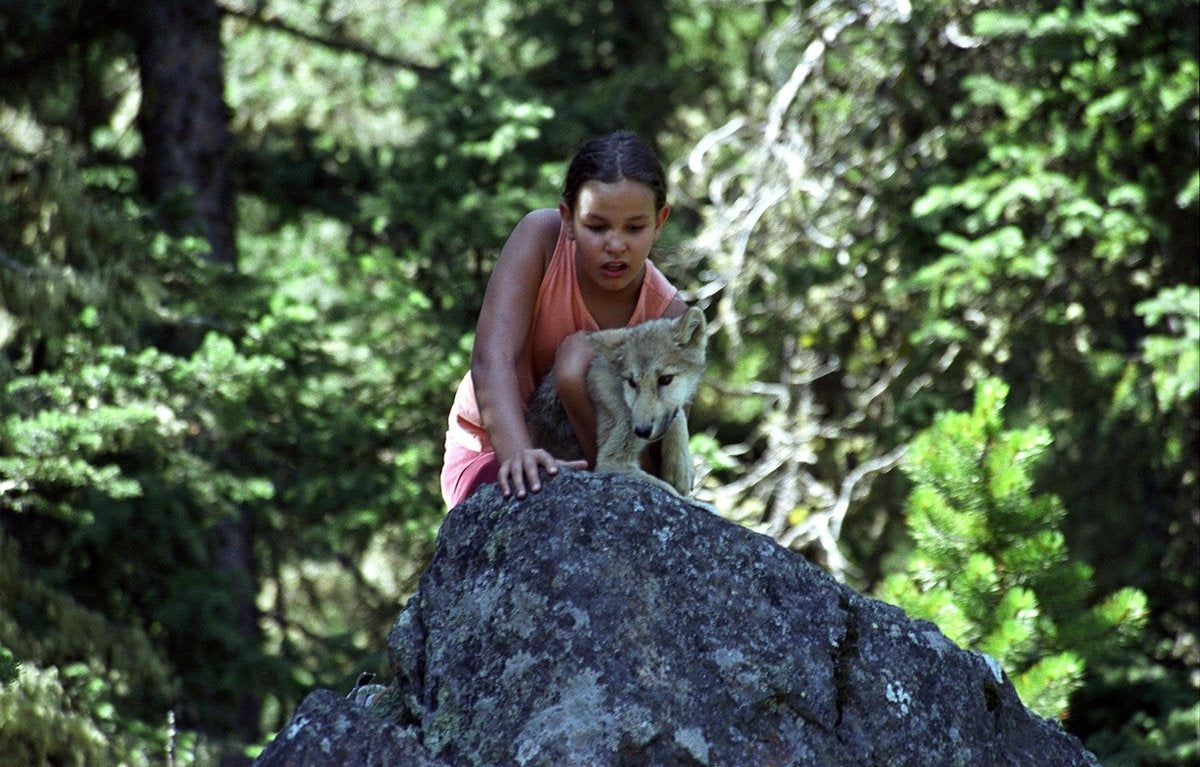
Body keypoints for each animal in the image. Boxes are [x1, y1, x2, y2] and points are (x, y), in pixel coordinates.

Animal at [527, 306, 707, 498]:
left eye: (665, 379)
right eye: (632, 382)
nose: (641, 431)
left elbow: (677, 415)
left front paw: (681, 468)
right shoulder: (612, 462)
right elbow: (673, 494)